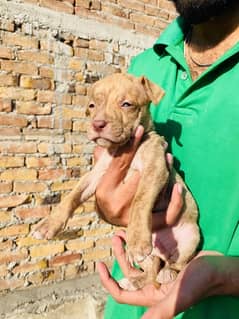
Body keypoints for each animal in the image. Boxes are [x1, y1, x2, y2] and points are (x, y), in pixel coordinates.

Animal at [32, 74, 200, 292]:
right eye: (92, 105)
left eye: (126, 104)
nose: (97, 124)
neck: (121, 147)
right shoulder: (97, 174)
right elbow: (72, 196)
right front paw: (48, 225)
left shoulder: (155, 168)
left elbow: (140, 200)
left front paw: (138, 239)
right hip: (150, 254)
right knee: (152, 269)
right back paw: (134, 281)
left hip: (191, 237)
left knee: (177, 265)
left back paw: (168, 273)